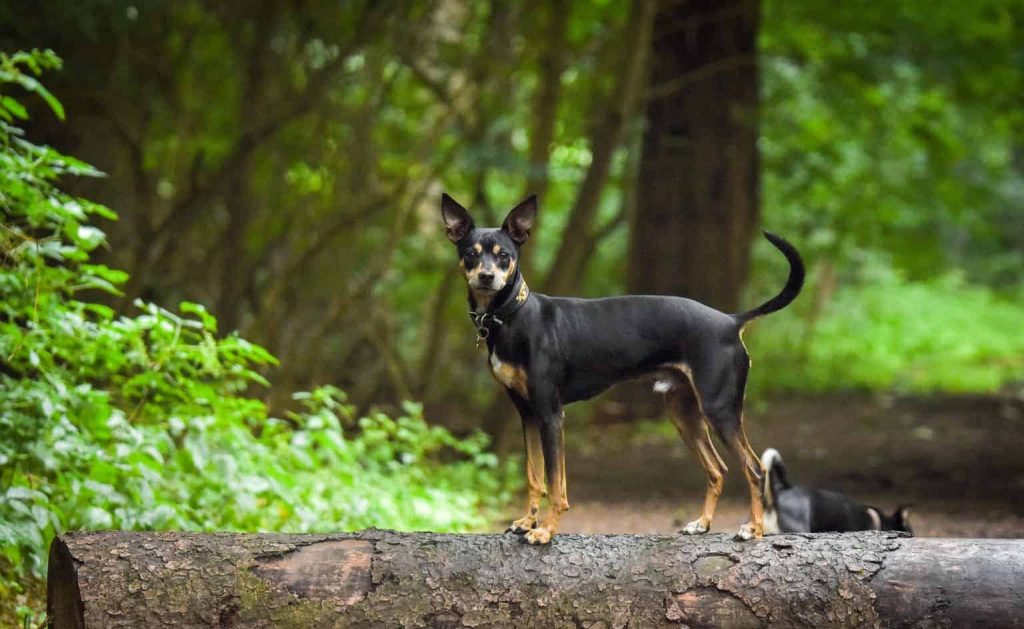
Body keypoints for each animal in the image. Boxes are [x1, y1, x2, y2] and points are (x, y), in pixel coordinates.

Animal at [444, 194, 802, 544]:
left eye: (504, 256)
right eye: (471, 254)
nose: (486, 277)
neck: (515, 316)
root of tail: (730, 321)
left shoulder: (551, 414)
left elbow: (556, 484)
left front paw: (545, 531)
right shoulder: (528, 414)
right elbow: (534, 476)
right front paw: (526, 522)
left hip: (720, 411)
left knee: (754, 470)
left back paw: (754, 529)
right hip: (684, 414)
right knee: (718, 470)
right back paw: (702, 524)